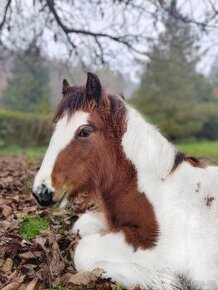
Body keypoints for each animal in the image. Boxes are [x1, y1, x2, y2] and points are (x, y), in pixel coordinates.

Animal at [32, 73, 218, 290]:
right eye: (55, 128)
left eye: (84, 131)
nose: (41, 192)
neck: (160, 194)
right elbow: (81, 224)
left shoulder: (156, 250)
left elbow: (81, 250)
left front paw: (162, 280)